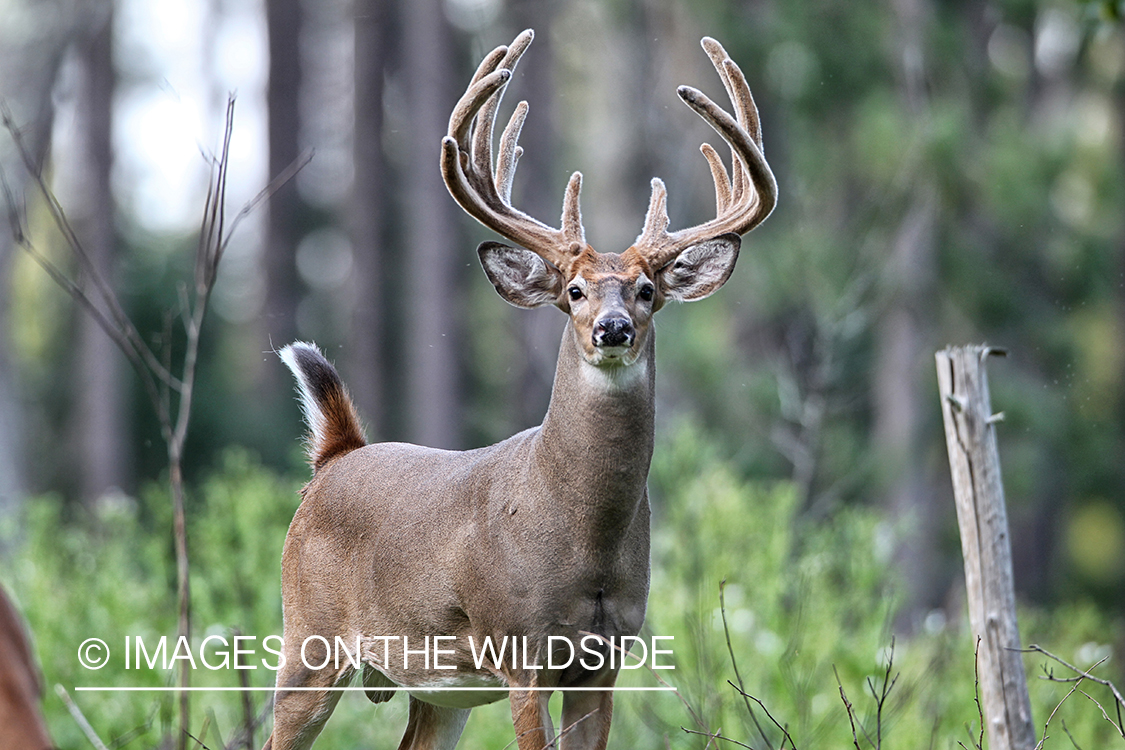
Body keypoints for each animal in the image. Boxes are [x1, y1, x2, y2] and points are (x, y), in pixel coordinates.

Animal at [263, 27, 774, 750]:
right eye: (575, 291)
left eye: (647, 291)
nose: (613, 328)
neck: (583, 537)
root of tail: (337, 455)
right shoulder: (519, 644)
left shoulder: (606, 657)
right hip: (307, 640)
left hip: (438, 690)